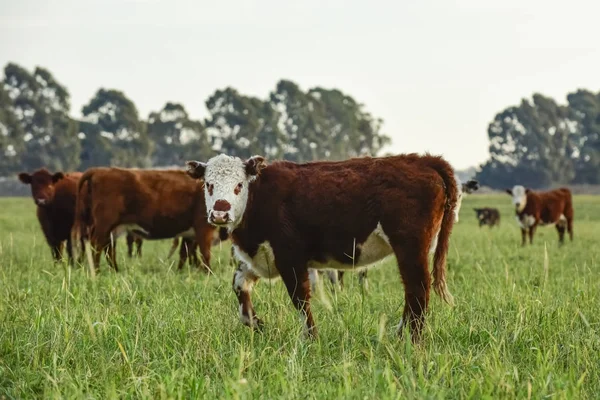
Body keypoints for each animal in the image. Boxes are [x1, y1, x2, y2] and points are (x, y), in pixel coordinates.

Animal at [72, 167, 218, 274]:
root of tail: (100, 170)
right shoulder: (204, 228)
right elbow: (205, 253)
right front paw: (208, 273)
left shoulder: (189, 234)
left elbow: (184, 253)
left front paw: (180, 272)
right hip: (104, 224)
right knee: (96, 245)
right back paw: (96, 271)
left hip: (112, 228)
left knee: (108, 248)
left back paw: (115, 270)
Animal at [188, 153, 460, 340]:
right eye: (209, 185)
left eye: (239, 186)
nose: (220, 212)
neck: (259, 198)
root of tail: (424, 161)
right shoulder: (262, 258)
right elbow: (239, 284)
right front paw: (256, 322)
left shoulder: (290, 258)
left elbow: (300, 298)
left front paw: (310, 338)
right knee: (414, 292)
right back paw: (400, 335)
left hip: (410, 247)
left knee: (418, 290)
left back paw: (410, 340)